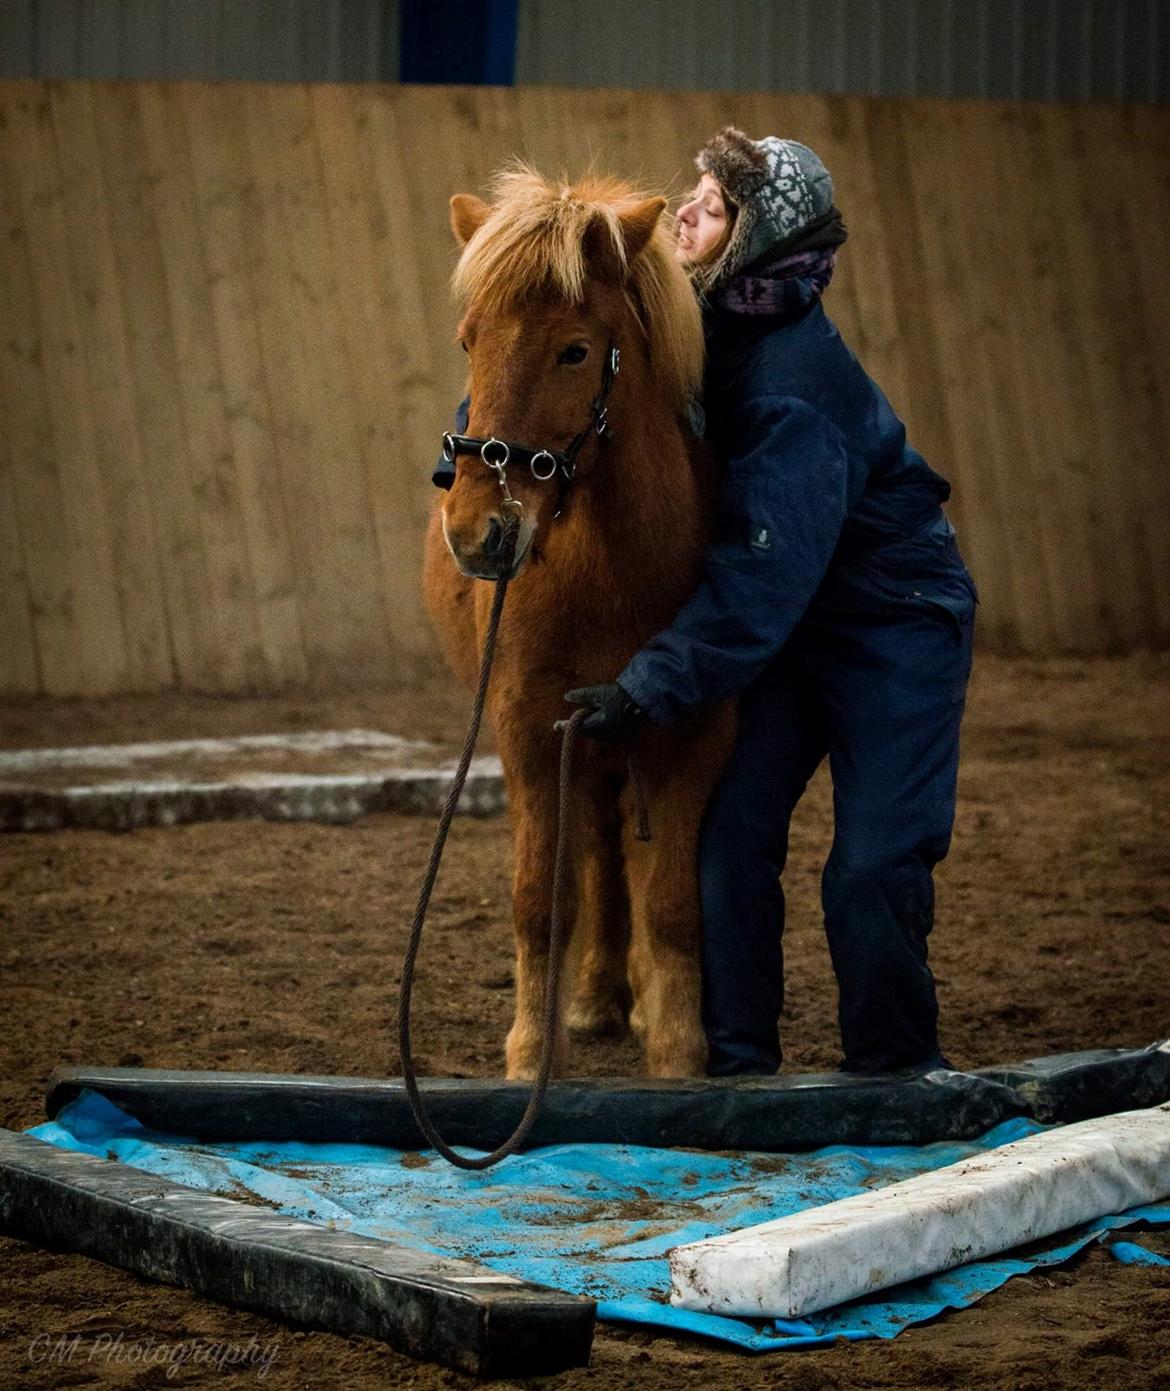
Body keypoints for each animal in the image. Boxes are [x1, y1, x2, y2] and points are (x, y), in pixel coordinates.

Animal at [423, 166, 735, 1079]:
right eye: (470, 342)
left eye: (574, 349)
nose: (477, 531)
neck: (611, 568)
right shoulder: (530, 726)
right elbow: (542, 896)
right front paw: (533, 1050)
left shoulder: (693, 728)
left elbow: (671, 899)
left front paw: (678, 1050)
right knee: (595, 851)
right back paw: (595, 995)